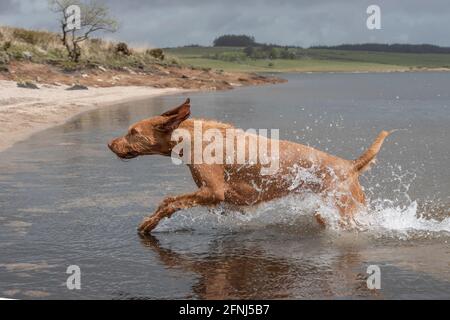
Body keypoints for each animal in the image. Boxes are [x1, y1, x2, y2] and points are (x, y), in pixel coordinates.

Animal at [107, 99, 392, 234]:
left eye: (133, 132)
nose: (109, 143)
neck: (192, 137)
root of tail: (350, 165)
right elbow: (169, 201)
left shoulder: (213, 191)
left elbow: (169, 202)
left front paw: (149, 223)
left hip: (345, 212)